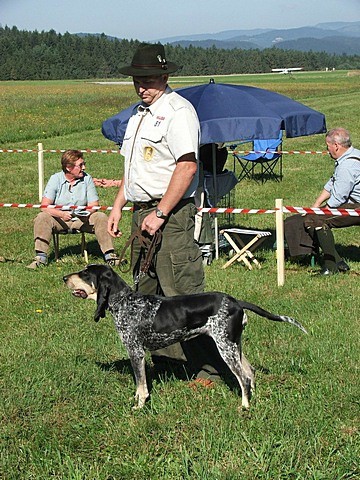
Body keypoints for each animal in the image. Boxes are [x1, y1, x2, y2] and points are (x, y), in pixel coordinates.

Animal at [63, 266, 306, 408]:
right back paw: (252, 398)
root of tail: (236, 302)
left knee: (243, 378)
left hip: (225, 346)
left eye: (85, 273)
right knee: (250, 372)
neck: (126, 302)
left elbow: (141, 386)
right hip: (234, 345)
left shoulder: (136, 352)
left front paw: (139, 406)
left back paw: (244, 407)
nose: (64, 277)